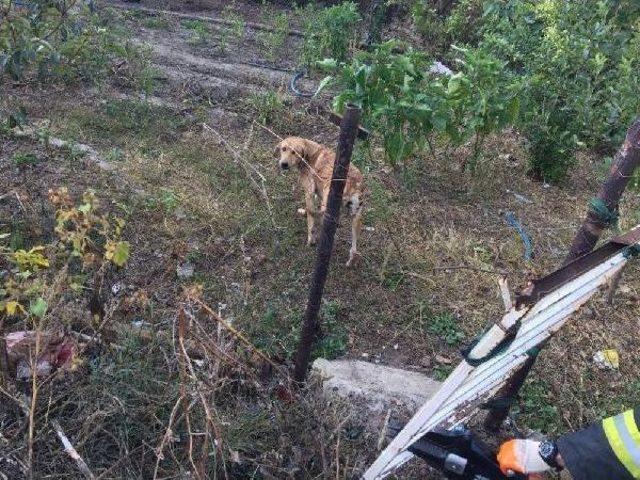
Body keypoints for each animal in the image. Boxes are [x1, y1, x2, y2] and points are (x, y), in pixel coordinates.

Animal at [276, 137, 364, 268]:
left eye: (295, 152)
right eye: (284, 149)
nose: (284, 164)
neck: (310, 154)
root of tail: (354, 183)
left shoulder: (309, 193)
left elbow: (310, 219)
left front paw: (310, 240)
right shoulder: (318, 194)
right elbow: (312, 210)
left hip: (328, 208)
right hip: (356, 217)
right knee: (354, 248)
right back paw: (351, 260)